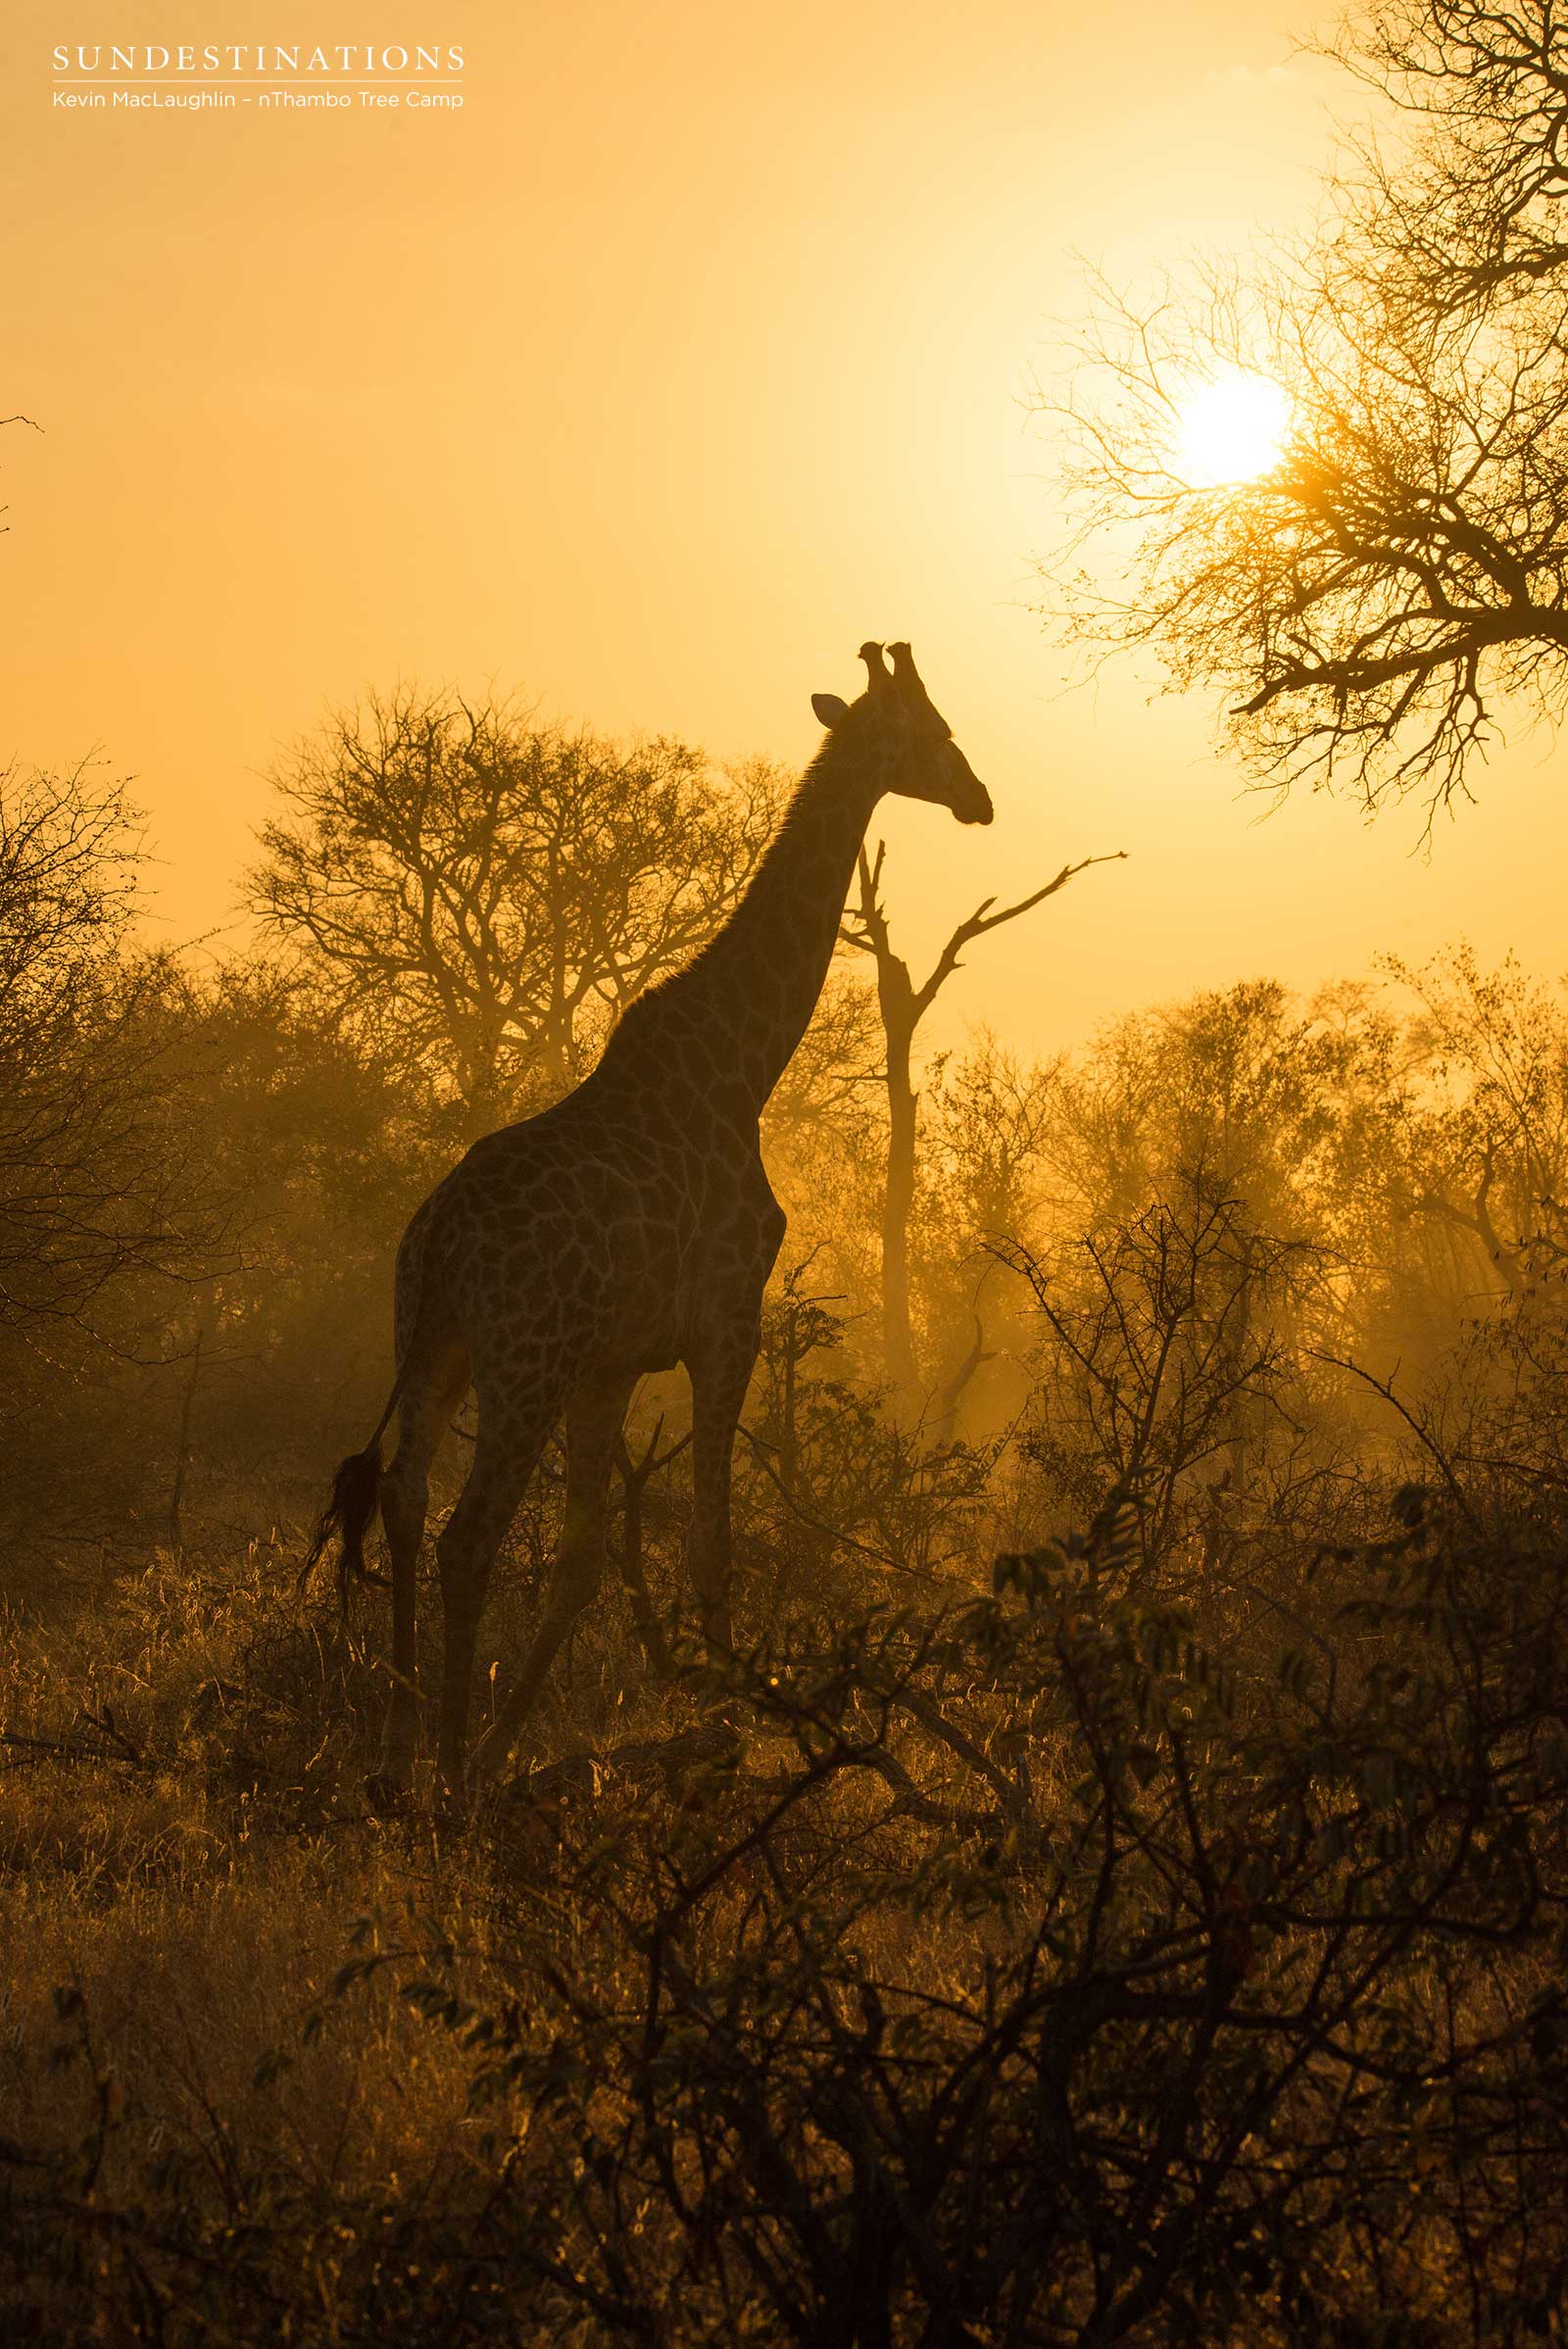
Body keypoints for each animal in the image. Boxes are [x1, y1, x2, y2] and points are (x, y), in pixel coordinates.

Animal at [306, 640, 993, 1803]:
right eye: (938, 731)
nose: (980, 799)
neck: (744, 1064)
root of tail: (439, 1243)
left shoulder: (611, 1362)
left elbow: (584, 1560)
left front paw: (514, 1743)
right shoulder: (725, 1323)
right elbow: (713, 1541)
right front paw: (752, 1719)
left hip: (434, 1342)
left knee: (401, 1497)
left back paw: (402, 1754)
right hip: (521, 1361)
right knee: (466, 1534)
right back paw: (445, 1772)